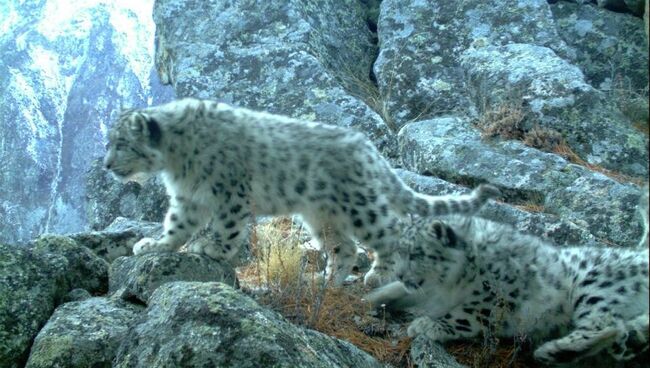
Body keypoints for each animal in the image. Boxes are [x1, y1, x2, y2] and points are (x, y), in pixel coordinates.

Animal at [101, 98, 498, 288]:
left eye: (121, 143)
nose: (105, 164)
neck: (176, 162)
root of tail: (368, 147)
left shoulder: (229, 191)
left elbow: (227, 226)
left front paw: (212, 249)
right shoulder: (187, 198)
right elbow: (175, 225)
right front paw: (153, 245)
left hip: (360, 206)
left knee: (390, 233)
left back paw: (379, 275)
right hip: (321, 216)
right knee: (345, 248)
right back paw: (325, 281)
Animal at [368, 214, 644, 364]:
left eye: (416, 253)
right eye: (399, 251)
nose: (401, 274)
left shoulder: (495, 297)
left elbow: (465, 314)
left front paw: (426, 325)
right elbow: (404, 293)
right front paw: (377, 296)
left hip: (594, 283)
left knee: (605, 324)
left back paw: (552, 351)